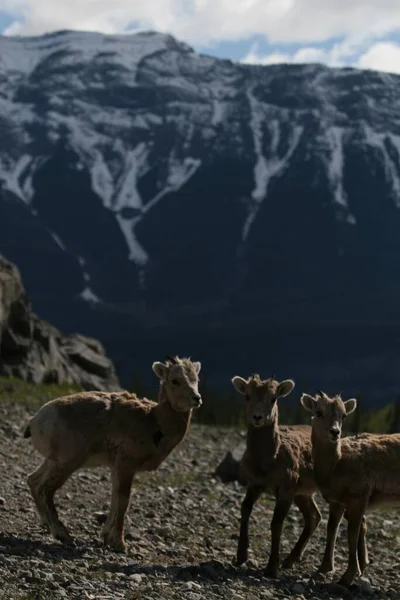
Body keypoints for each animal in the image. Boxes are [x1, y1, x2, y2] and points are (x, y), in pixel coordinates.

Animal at [23, 352, 202, 552]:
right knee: (45, 490)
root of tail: (36, 421)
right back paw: (63, 535)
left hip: (53, 462)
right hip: (67, 463)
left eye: (196, 379)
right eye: (175, 380)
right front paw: (120, 544)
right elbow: (123, 501)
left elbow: (114, 498)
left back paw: (47, 525)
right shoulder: (126, 466)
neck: (155, 422)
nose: (197, 398)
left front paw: (105, 537)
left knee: (33, 481)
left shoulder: (116, 468)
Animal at [231, 376, 322, 576]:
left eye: (273, 399)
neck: (267, 461)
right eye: (247, 396)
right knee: (313, 518)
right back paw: (290, 560)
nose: (257, 417)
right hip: (302, 495)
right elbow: (245, 509)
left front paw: (272, 568)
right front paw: (241, 556)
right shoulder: (255, 485)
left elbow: (276, 523)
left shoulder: (285, 492)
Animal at [300, 394, 400, 584]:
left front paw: (348, 576)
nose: (335, 432)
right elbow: (332, 529)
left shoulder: (358, 499)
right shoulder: (336, 502)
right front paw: (323, 569)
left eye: (344, 415)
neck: (336, 465)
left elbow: (352, 534)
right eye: (319, 412)